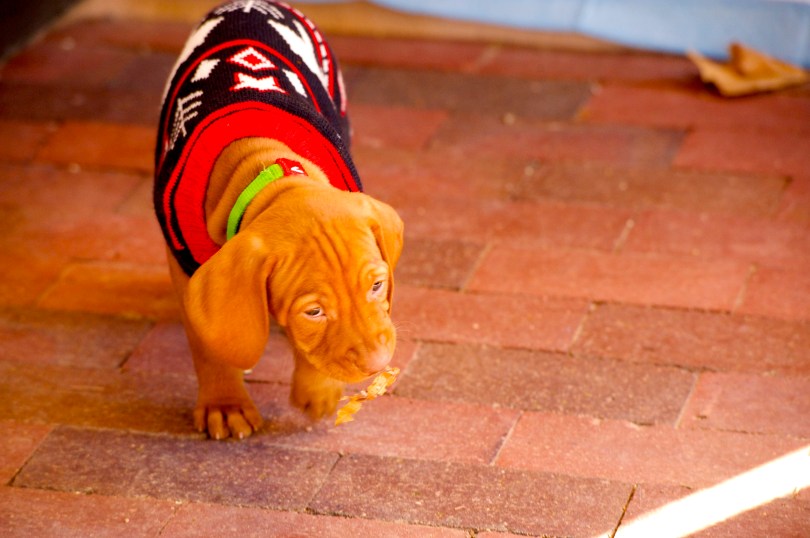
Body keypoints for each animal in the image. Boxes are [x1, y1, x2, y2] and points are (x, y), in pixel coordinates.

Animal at [154, 0, 403, 440]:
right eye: (314, 312)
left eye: (377, 286)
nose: (377, 365)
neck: (263, 165)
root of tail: (248, 4)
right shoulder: (186, 269)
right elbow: (210, 342)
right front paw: (225, 404)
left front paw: (318, 388)